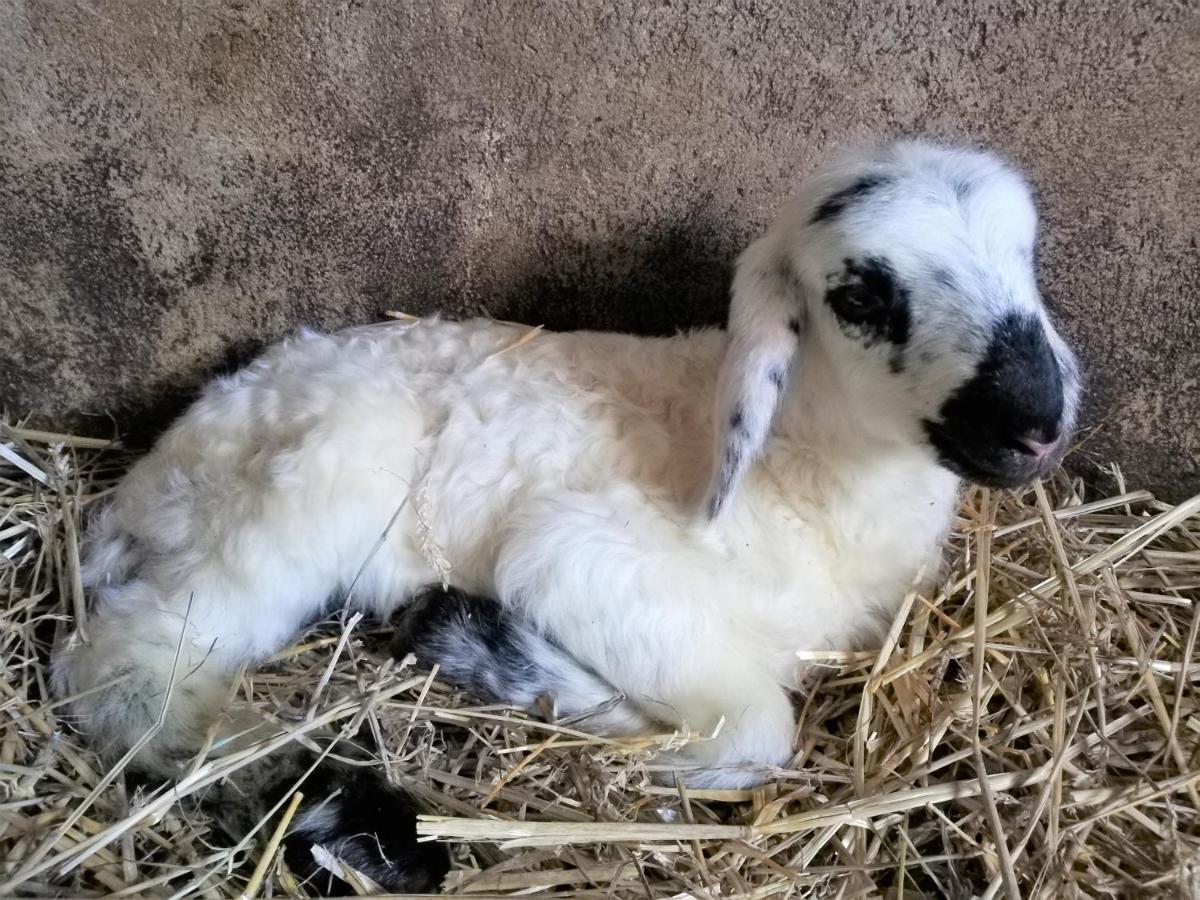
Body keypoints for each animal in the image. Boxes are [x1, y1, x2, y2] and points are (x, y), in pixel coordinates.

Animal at [49, 137, 1080, 892]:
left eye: (1026, 258)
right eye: (863, 295)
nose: (1037, 420)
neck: (804, 477)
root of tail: (148, 480)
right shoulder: (577, 554)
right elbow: (751, 736)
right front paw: (489, 649)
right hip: (307, 491)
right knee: (129, 671)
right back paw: (343, 808)